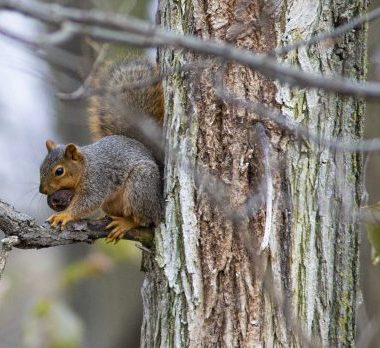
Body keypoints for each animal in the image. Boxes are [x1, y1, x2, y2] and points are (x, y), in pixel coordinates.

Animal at [39, 58, 165, 242]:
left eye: (59, 171)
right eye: (40, 167)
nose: (42, 190)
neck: (85, 166)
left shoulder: (97, 180)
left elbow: (88, 202)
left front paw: (64, 215)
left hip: (141, 185)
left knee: (144, 218)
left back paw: (125, 223)